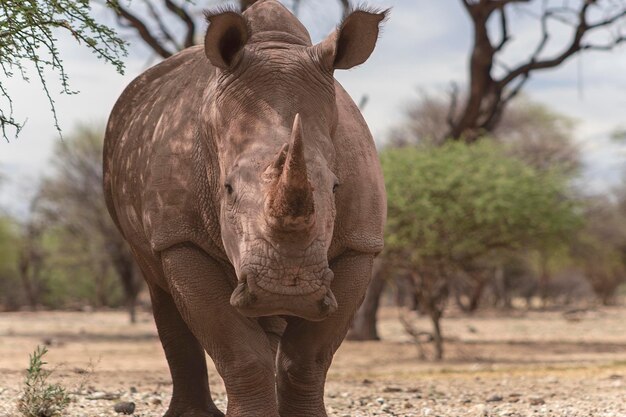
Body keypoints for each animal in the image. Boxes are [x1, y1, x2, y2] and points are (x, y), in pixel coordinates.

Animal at [103, 1, 386, 414]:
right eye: (228, 189)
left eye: (335, 187)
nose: (286, 289)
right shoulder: (181, 236)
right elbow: (239, 350)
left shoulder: (360, 243)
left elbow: (308, 357)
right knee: (159, 286)